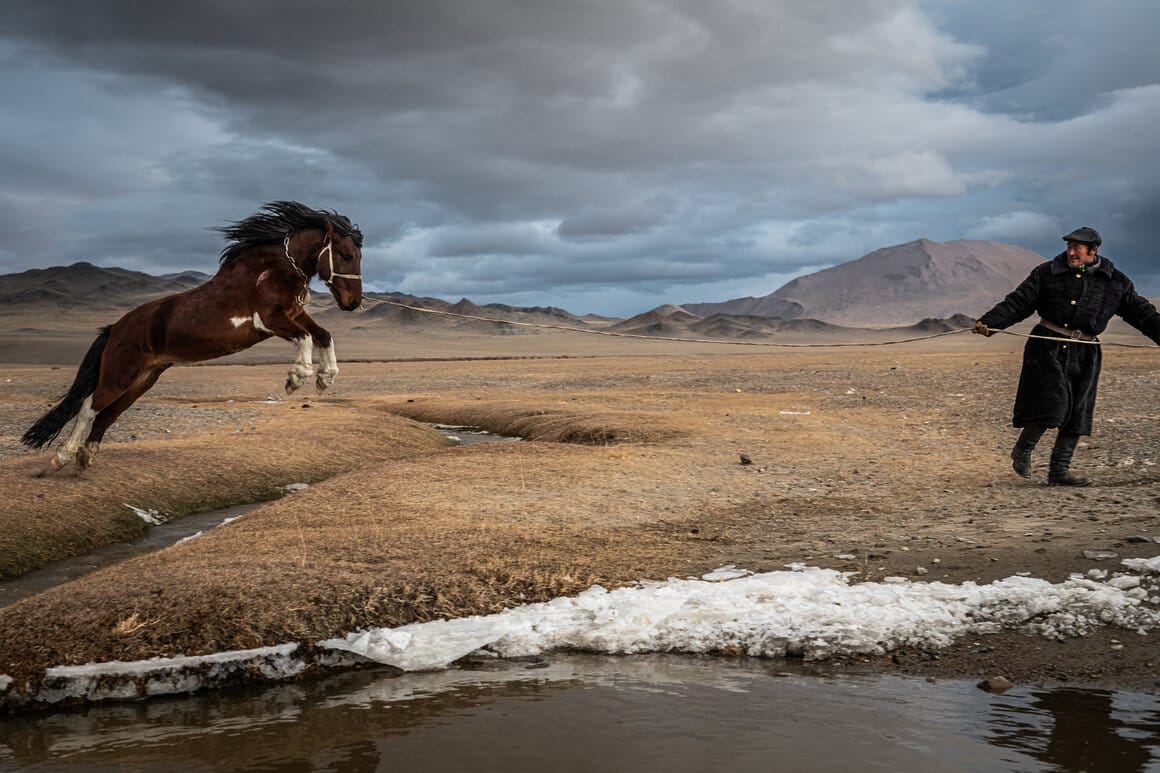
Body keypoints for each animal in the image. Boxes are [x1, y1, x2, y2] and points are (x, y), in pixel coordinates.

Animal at [21, 201, 364, 472]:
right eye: (345, 254)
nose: (353, 302)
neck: (274, 270)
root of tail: (115, 328)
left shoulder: (294, 314)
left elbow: (324, 335)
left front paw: (326, 377)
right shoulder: (270, 320)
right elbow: (306, 339)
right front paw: (297, 378)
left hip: (143, 379)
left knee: (108, 415)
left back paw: (85, 458)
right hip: (120, 374)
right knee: (89, 405)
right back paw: (63, 456)